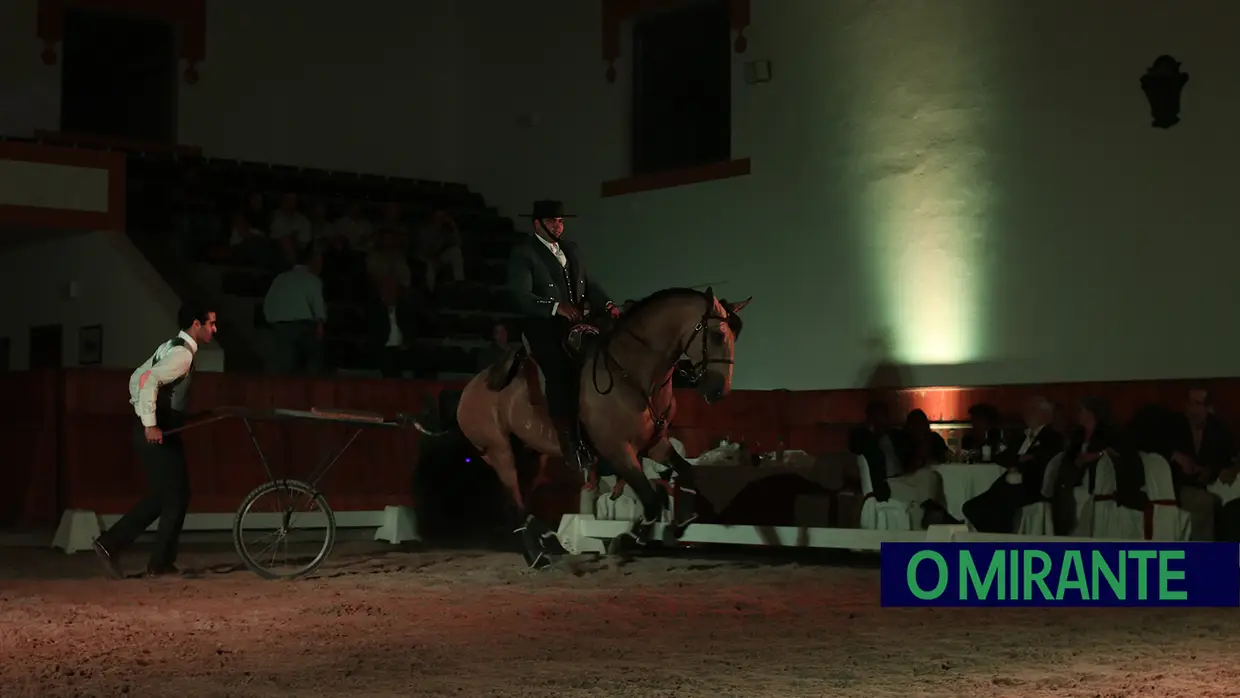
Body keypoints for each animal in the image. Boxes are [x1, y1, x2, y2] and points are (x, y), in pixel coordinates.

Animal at [411, 286, 748, 565]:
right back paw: (536, 555)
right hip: (500, 452)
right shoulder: (618, 450)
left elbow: (686, 474)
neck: (633, 374)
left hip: (531, 456)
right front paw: (629, 539)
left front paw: (677, 526)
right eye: (717, 335)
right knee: (513, 500)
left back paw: (544, 540)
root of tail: (471, 387)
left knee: (520, 496)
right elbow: (652, 501)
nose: (718, 391)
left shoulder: (656, 444)